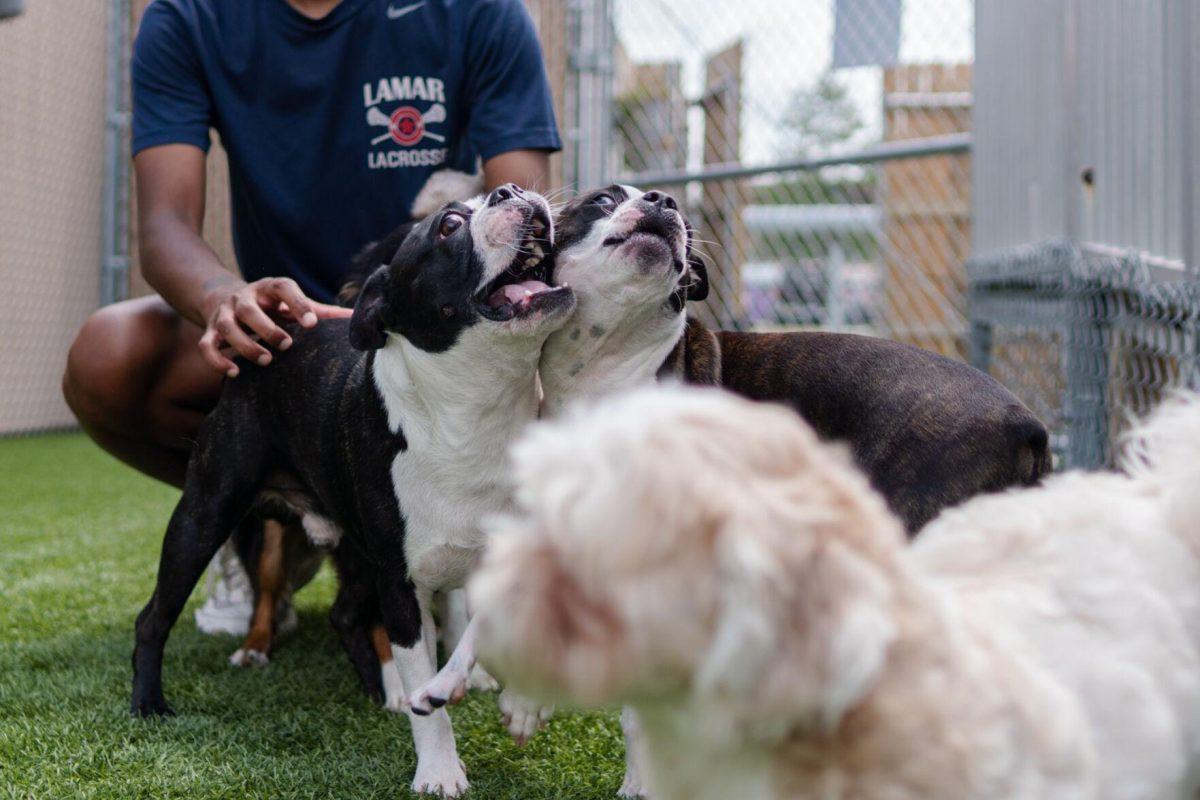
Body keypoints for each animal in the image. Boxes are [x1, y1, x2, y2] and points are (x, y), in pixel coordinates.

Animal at [133, 184, 573, 796]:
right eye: (448, 226)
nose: (511, 192)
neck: (473, 411)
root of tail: (269, 347)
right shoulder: (401, 584)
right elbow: (425, 693)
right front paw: (438, 770)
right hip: (205, 517)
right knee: (156, 615)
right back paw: (149, 704)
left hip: (354, 547)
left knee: (343, 614)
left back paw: (375, 688)